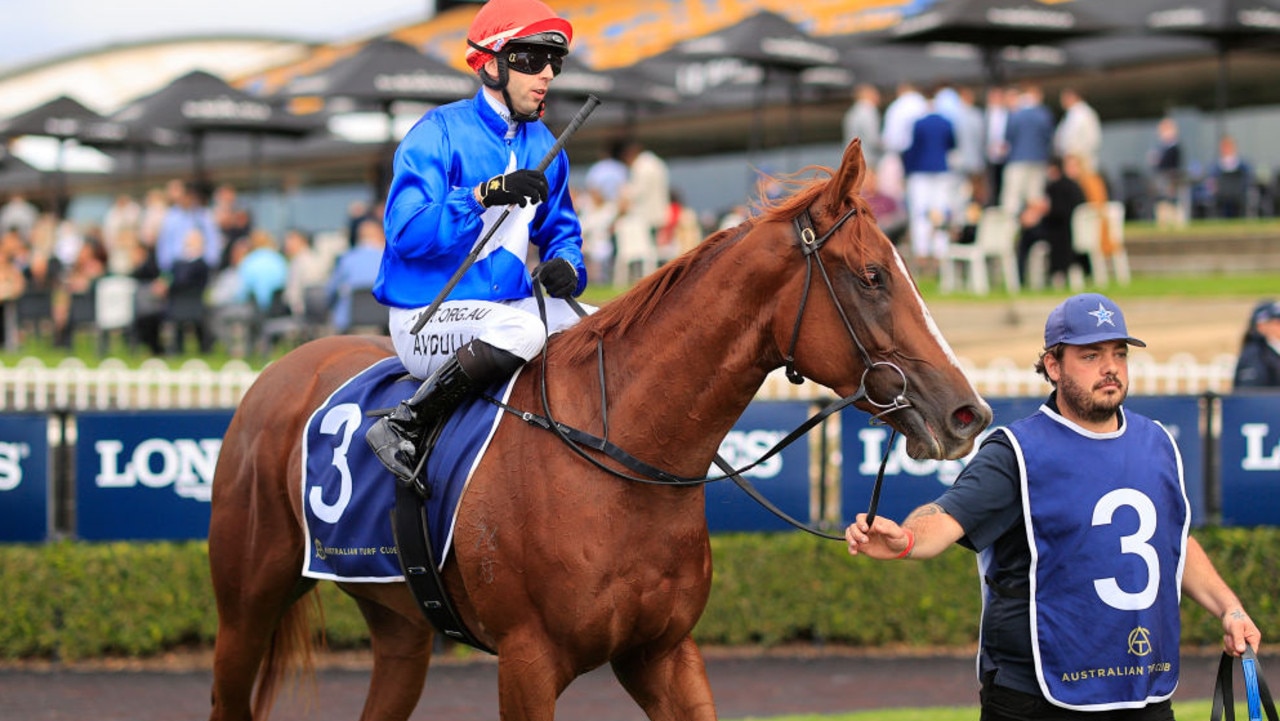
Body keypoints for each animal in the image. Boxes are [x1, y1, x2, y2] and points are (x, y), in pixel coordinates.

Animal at [207, 138, 988, 717]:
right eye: (872, 276)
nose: (968, 412)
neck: (622, 460)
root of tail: (276, 372)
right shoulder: (527, 662)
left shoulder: (662, 652)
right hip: (246, 606)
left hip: (400, 624)